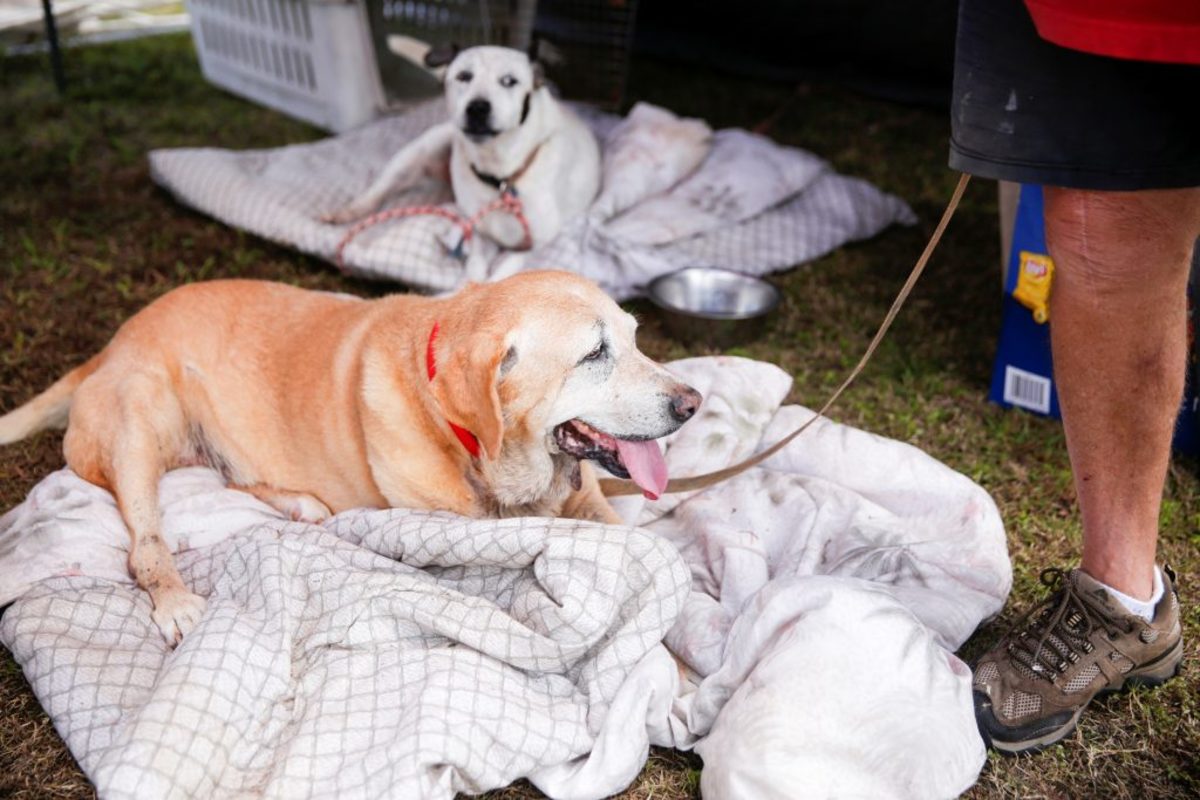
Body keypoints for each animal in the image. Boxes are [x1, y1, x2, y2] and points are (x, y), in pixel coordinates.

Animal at [0, 273, 700, 642]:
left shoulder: (589, 506)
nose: (693, 402)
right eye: (593, 354)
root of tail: (108, 346)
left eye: (636, 339)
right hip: (141, 421)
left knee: (234, 478)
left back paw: (298, 504)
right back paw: (173, 598)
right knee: (144, 541)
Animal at [324, 45, 600, 250]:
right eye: (464, 76)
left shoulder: (532, 246)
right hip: (418, 152)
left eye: (509, 81)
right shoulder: (475, 230)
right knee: (379, 190)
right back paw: (346, 212)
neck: (501, 175)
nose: (477, 108)